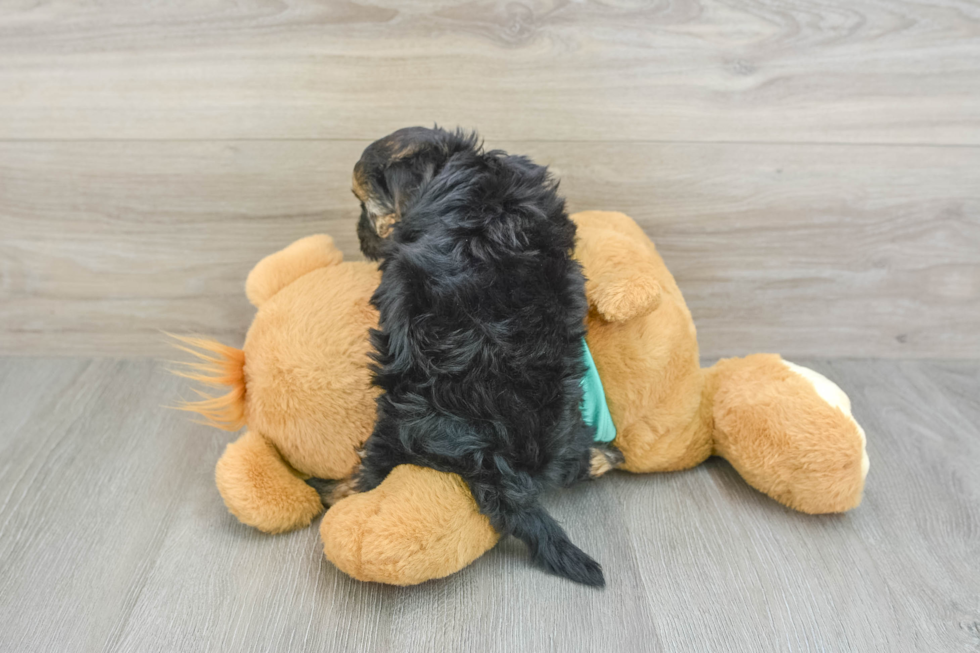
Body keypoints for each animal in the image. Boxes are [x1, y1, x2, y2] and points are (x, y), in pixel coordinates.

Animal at [344, 127, 616, 584]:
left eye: (364, 204)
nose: (360, 235)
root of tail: (494, 460)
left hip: (397, 415)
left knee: (378, 462)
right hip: (567, 424)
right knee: (574, 460)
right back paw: (604, 457)